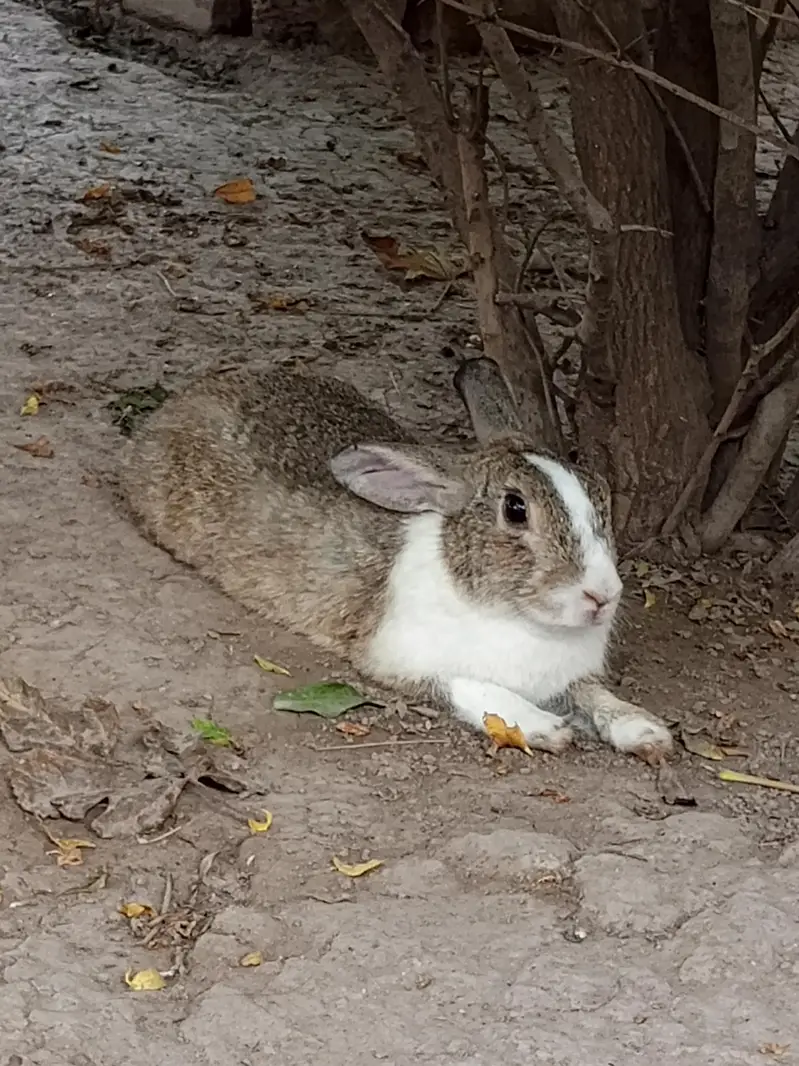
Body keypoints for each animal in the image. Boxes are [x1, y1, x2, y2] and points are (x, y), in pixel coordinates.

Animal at [119, 357, 673, 765]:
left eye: (600, 493)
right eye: (516, 510)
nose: (602, 596)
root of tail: (178, 404)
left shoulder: (573, 678)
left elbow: (593, 696)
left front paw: (645, 730)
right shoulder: (402, 658)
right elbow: (467, 683)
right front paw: (543, 727)